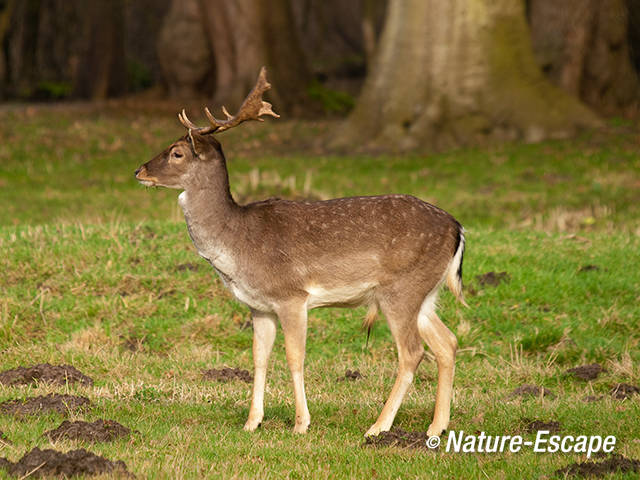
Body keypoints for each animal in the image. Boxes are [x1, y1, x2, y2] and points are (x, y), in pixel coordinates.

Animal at [135, 67, 464, 438]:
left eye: (177, 152)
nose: (139, 171)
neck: (238, 246)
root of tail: (457, 228)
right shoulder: (258, 306)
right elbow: (259, 358)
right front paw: (251, 422)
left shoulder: (291, 295)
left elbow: (295, 357)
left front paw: (300, 423)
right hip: (425, 293)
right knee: (447, 342)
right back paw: (436, 427)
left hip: (400, 289)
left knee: (412, 352)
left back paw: (378, 428)